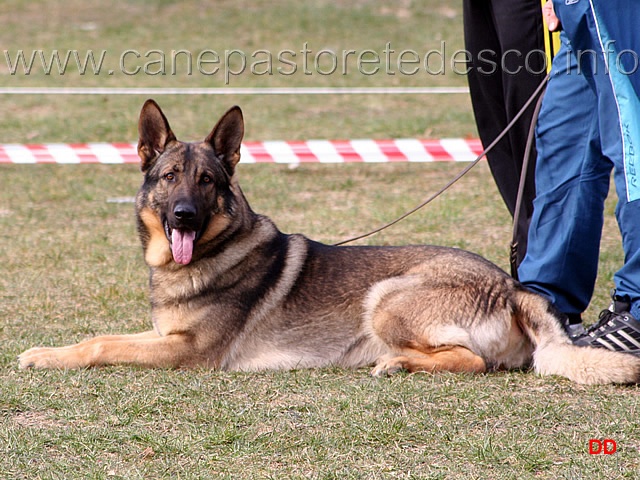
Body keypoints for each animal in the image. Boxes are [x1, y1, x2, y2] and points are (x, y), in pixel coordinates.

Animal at [17, 99, 640, 384]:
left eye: (208, 181)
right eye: (170, 177)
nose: (185, 217)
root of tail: (512, 288)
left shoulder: (188, 353)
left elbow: (102, 346)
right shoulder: (164, 336)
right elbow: (96, 337)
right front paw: (46, 351)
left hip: (386, 297)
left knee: (470, 361)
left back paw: (397, 363)